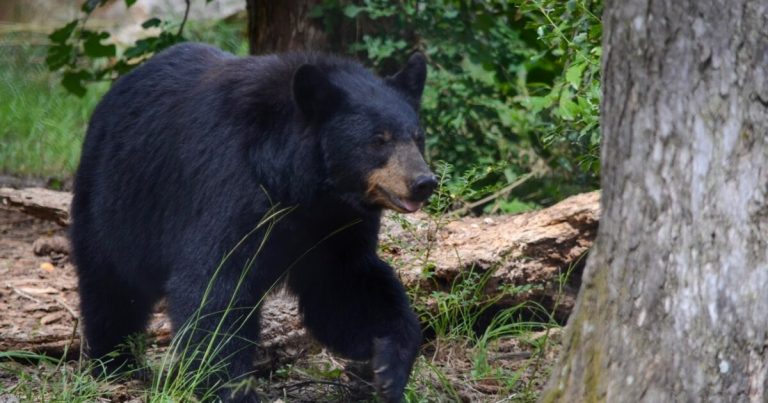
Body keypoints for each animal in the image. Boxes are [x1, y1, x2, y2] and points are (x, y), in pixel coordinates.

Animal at [69, 42, 436, 402]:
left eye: (417, 137)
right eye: (378, 140)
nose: (423, 182)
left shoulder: (337, 222)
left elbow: (347, 285)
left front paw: (389, 364)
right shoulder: (230, 186)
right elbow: (214, 284)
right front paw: (230, 388)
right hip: (113, 200)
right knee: (110, 285)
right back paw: (115, 361)